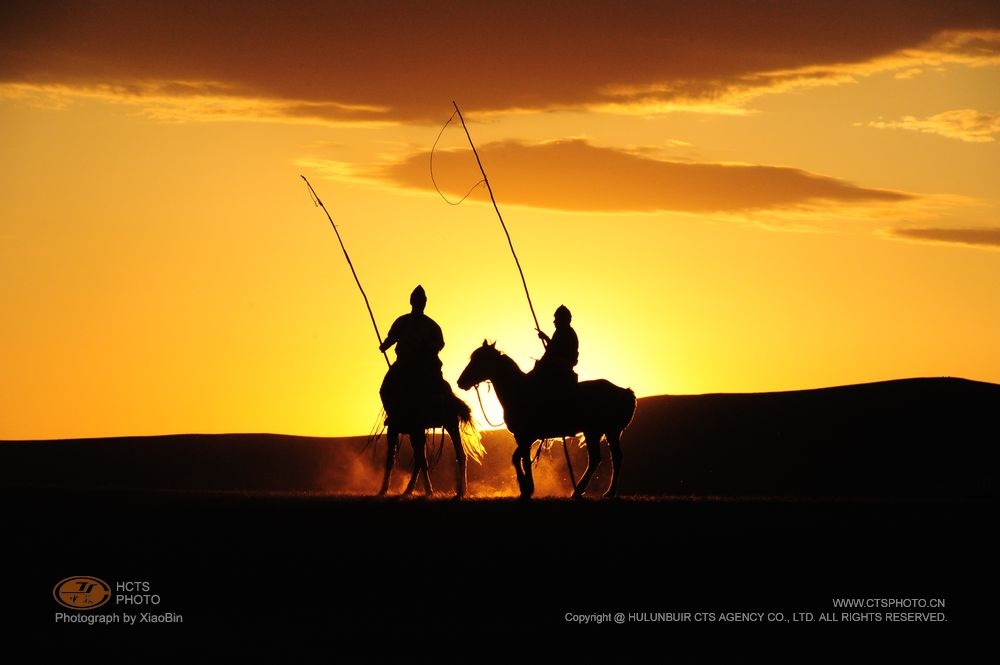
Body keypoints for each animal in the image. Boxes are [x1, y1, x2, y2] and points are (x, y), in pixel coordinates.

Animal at [458, 342, 636, 498]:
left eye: (479, 360)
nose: (460, 382)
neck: (518, 391)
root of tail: (625, 392)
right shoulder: (525, 438)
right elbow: (519, 458)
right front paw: (525, 488)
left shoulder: (525, 436)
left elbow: (521, 459)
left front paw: (527, 488)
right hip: (603, 432)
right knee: (607, 458)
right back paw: (600, 491)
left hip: (599, 431)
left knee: (602, 458)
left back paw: (586, 491)